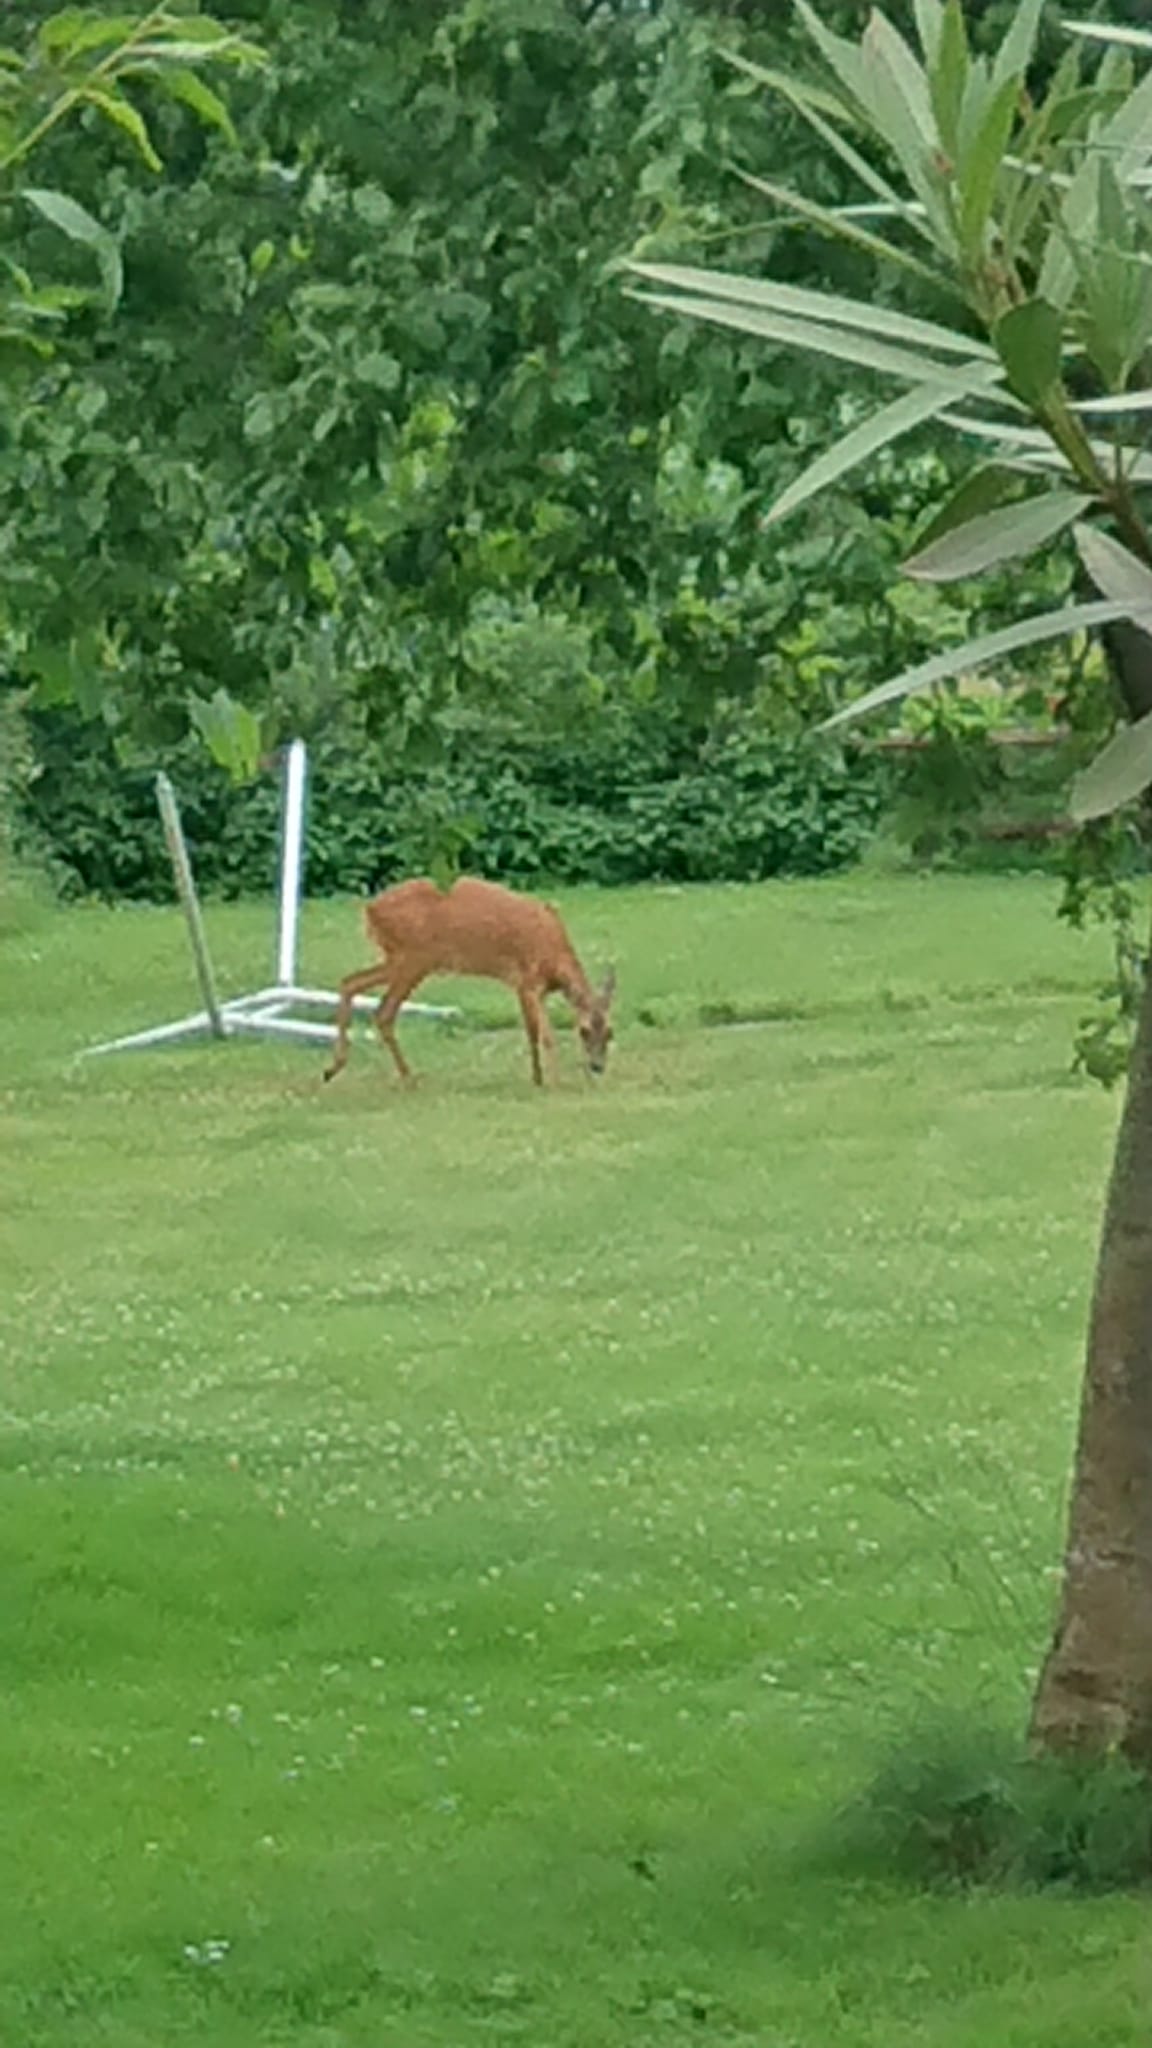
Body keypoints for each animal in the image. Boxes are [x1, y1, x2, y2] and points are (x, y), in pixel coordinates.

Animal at [317, 876, 614, 1089]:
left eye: (610, 1032)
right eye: (584, 1030)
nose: (598, 1067)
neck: (554, 957)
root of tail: (370, 909)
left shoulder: (522, 987)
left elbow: (531, 1031)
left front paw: (538, 1078)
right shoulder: (529, 980)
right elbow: (547, 1034)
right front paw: (555, 1082)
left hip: (399, 959)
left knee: (350, 982)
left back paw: (333, 1069)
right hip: (414, 959)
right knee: (383, 1012)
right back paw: (409, 1078)